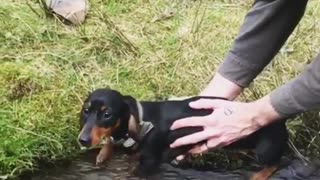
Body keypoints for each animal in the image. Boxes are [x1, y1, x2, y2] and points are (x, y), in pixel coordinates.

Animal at [77, 88, 288, 180]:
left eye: (107, 114)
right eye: (85, 110)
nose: (83, 140)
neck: (144, 121)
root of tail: (281, 119)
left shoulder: (150, 163)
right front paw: (103, 153)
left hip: (265, 151)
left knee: (277, 163)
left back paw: (258, 176)